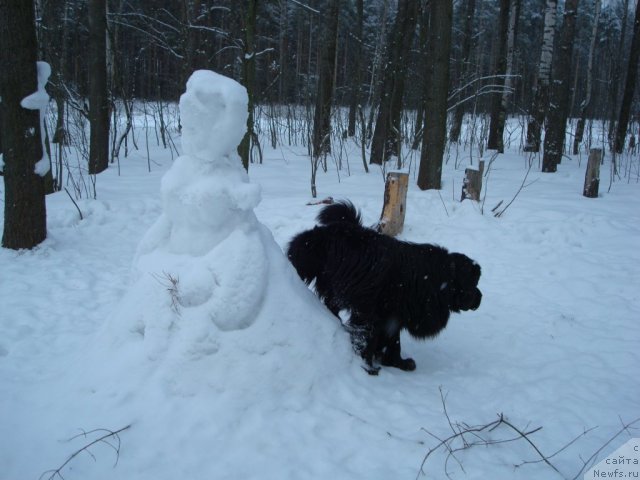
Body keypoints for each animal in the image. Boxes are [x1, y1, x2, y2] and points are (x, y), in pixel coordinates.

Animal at [288, 201, 482, 374]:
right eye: (473, 283)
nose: (480, 297)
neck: (431, 280)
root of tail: (323, 233)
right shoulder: (371, 314)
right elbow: (369, 339)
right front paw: (369, 366)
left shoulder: (394, 315)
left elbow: (393, 341)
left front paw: (397, 362)